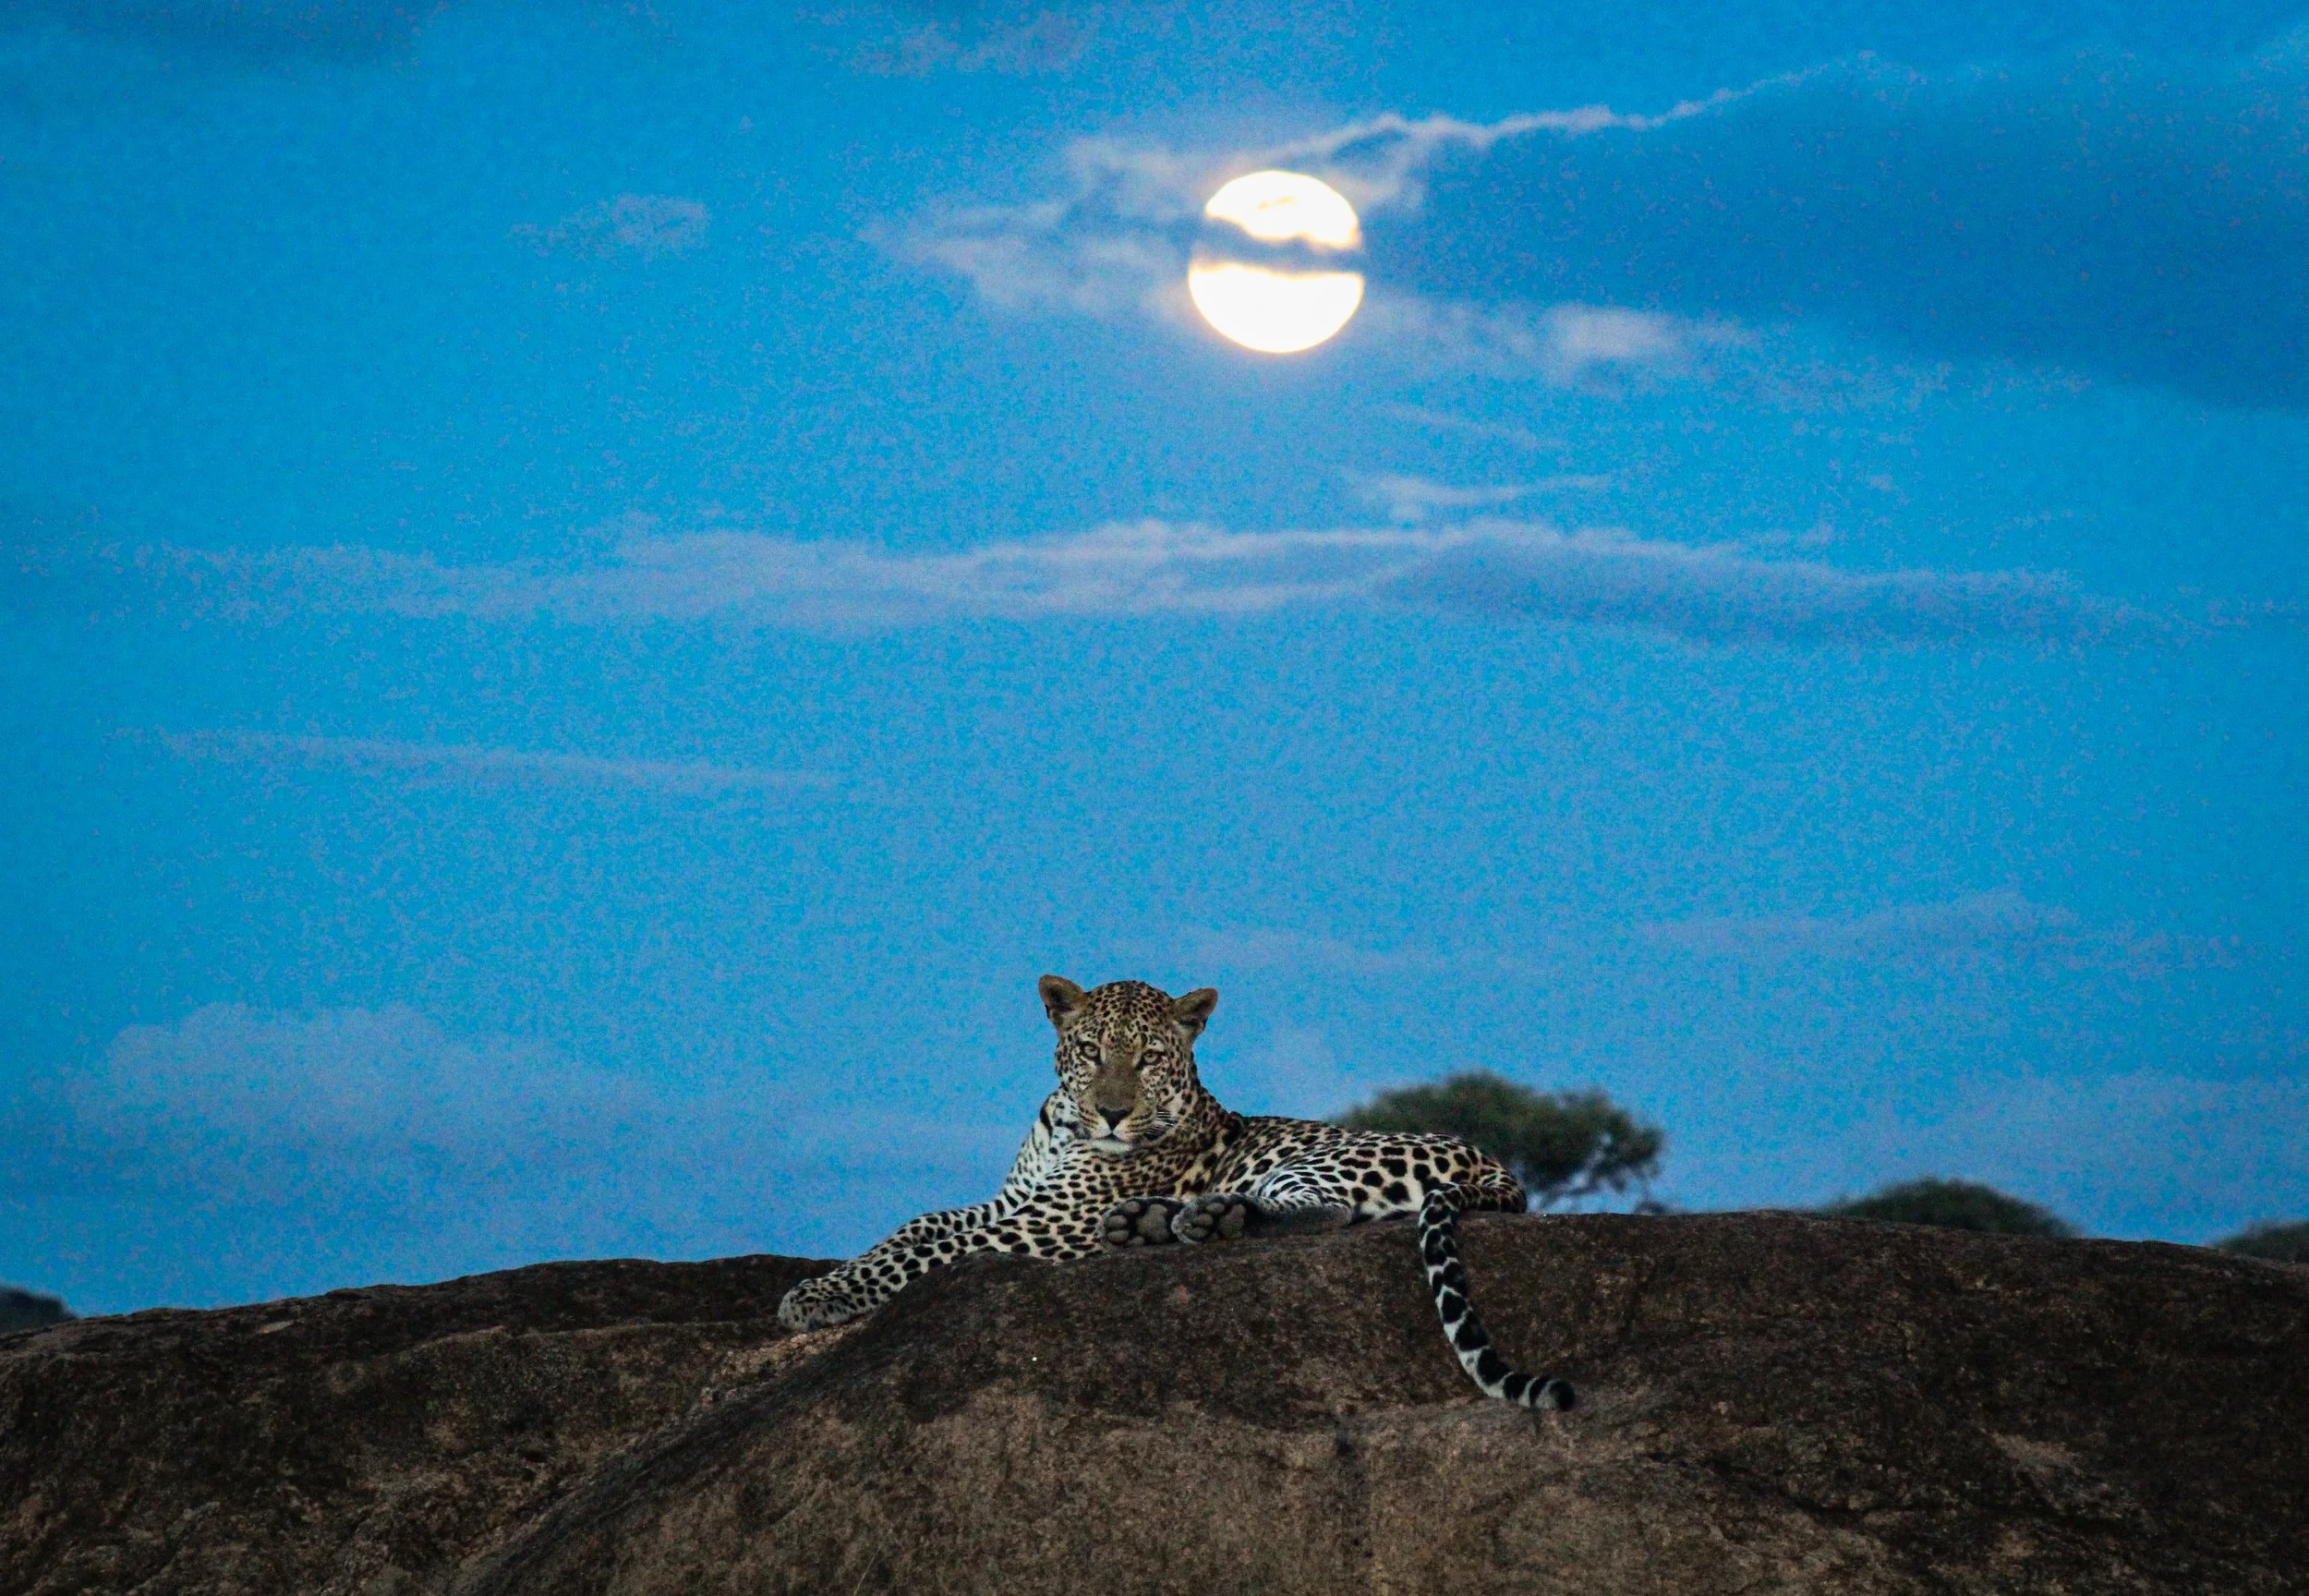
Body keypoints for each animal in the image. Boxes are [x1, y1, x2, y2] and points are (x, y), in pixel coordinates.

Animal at [776, 975, 1575, 1410]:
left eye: (1150, 1057)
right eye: (1092, 1051)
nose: (1111, 1112)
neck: (1065, 1122)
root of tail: (1492, 1161)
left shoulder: (1043, 1223)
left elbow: (929, 1253)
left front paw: (818, 1299)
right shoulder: (1015, 1202)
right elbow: (918, 1226)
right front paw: (823, 1283)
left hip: (1318, 1159)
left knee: (1325, 1209)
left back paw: (1198, 1217)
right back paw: (1149, 1224)